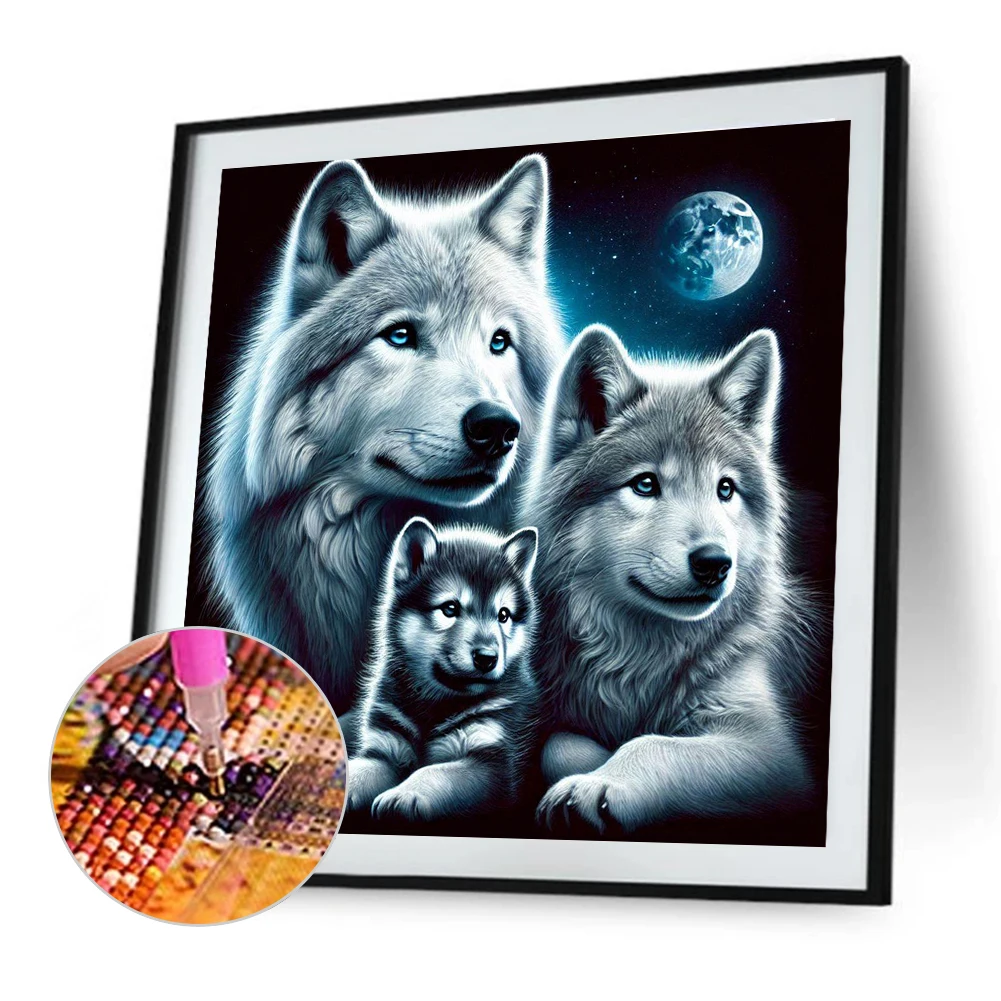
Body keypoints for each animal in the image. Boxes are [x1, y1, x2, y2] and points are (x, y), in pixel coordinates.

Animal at [347, 517, 539, 823]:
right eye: (450, 608)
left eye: (503, 615)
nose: (488, 658)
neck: (434, 704)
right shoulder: (384, 752)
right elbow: (358, 771)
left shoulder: (492, 767)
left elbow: (436, 772)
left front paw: (404, 793)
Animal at [526, 324, 823, 834]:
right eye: (645, 484)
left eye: (725, 488)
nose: (715, 562)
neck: (643, 659)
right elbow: (558, 745)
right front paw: (592, 762)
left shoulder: (773, 752)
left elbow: (652, 745)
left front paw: (596, 784)